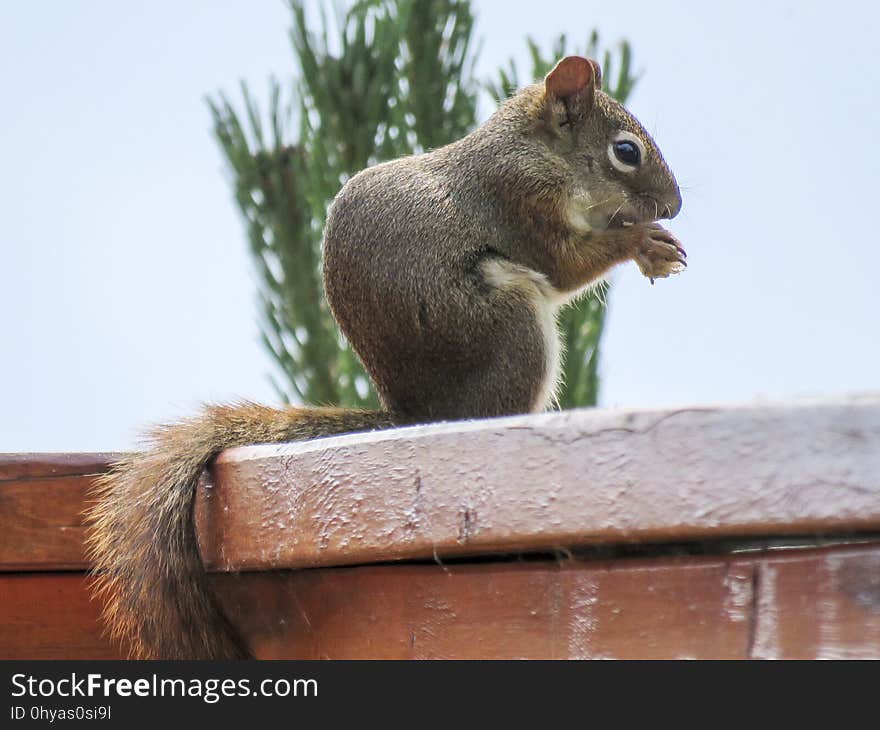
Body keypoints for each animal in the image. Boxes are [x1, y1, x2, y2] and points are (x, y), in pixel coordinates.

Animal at [86, 55, 684, 660]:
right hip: (511, 322)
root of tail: (417, 414)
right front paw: (640, 242)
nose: (674, 206)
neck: (534, 149)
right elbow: (565, 265)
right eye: (626, 151)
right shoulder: (520, 201)